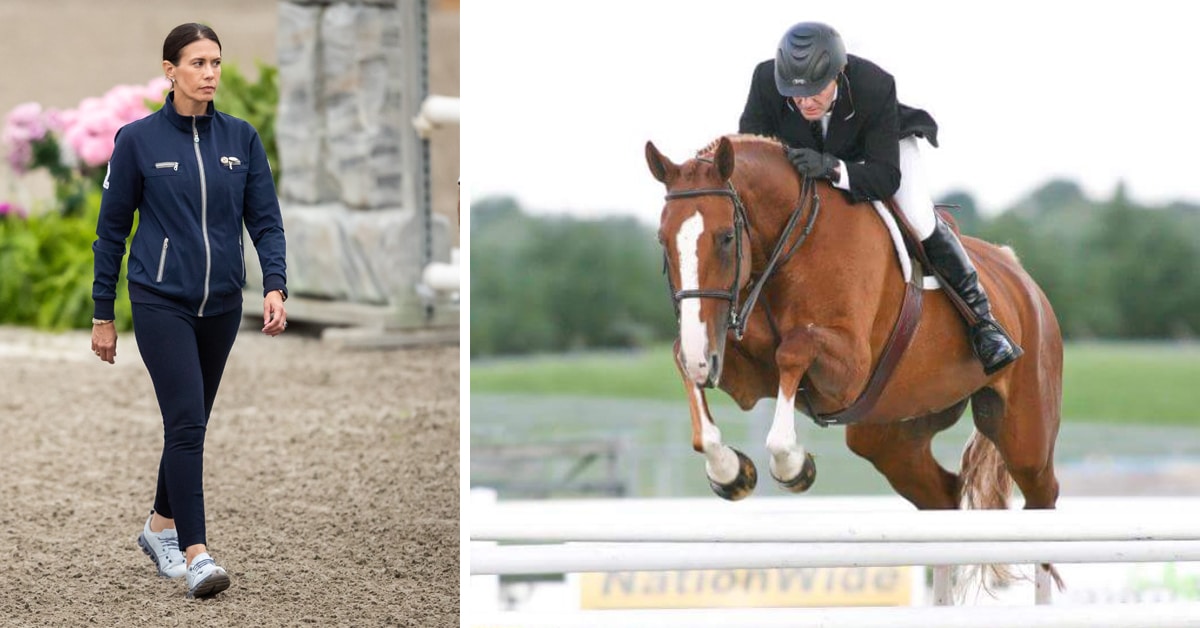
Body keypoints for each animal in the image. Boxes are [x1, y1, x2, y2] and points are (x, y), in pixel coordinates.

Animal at [645, 134, 1063, 591]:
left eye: (724, 238)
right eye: (662, 240)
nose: (704, 360)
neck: (791, 244)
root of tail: (1021, 277)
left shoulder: (848, 369)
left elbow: (794, 349)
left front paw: (791, 463)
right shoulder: (741, 371)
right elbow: (684, 361)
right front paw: (729, 471)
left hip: (1024, 434)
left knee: (1042, 502)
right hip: (892, 434)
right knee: (943, 496)